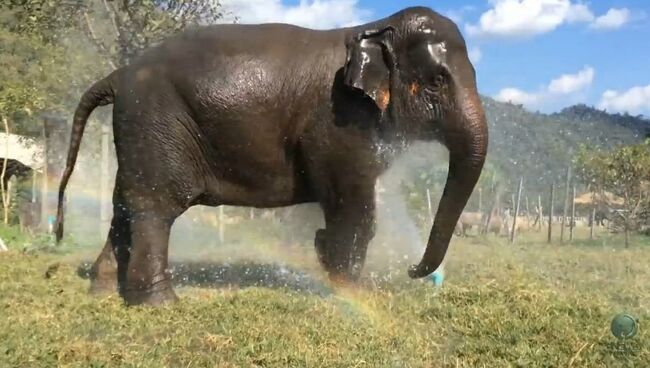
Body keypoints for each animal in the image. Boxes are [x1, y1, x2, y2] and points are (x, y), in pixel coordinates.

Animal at [55, 5, 486, 306]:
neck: (373, 25)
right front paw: (351, 292)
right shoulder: (339, 123)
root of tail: (118, 75)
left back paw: (104, 290)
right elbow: (353, 204)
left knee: (124, 204)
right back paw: (160, 303)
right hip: (156, 122)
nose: (413, 271)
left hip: (138, 132)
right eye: (437, 81)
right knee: (155, 207)